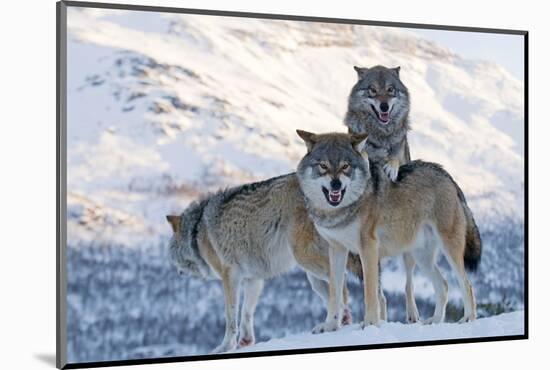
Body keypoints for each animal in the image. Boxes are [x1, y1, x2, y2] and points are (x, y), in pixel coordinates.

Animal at [164, 175, 362, 354]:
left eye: (171, 254)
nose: (177, 272)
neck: (196, 232)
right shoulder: (253, 279)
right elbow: (247, 312)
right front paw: (245, 341)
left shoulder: (230, 276)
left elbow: (230, 316)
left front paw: (225, 347)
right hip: (313, 276)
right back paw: (343, 320)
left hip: (305, 258)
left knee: (341, 282)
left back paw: (336, 322)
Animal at [298, 131, 484, 332]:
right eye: (323, 166)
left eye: (345, 166)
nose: (336, 185)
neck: (339, 211)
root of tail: (447, 175)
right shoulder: (337, 250)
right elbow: (335, 294)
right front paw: (330, 326)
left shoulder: (368, 248)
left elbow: (370, 293)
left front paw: (370, 324)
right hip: (422, 257)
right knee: (443, 285)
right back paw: (434, 321)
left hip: (449, 249)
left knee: (467, 284)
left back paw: (468, 319)